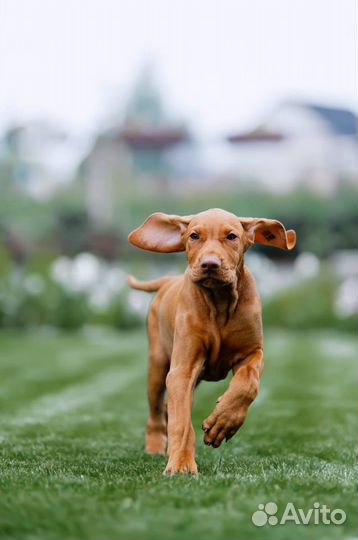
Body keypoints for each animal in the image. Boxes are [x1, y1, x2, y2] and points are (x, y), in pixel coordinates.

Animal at [127, 209, 296, 474]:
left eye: (232, 236)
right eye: (194, 236)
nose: (209, 264)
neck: (219, 302)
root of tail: (168, 281)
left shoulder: (253, 352)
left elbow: (248, 384)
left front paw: (223, 421)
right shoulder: (182, 370)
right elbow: (182, 422)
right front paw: (181, 464)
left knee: (167, 409)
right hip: (158, 364)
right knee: (157, 409)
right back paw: (156, 446)